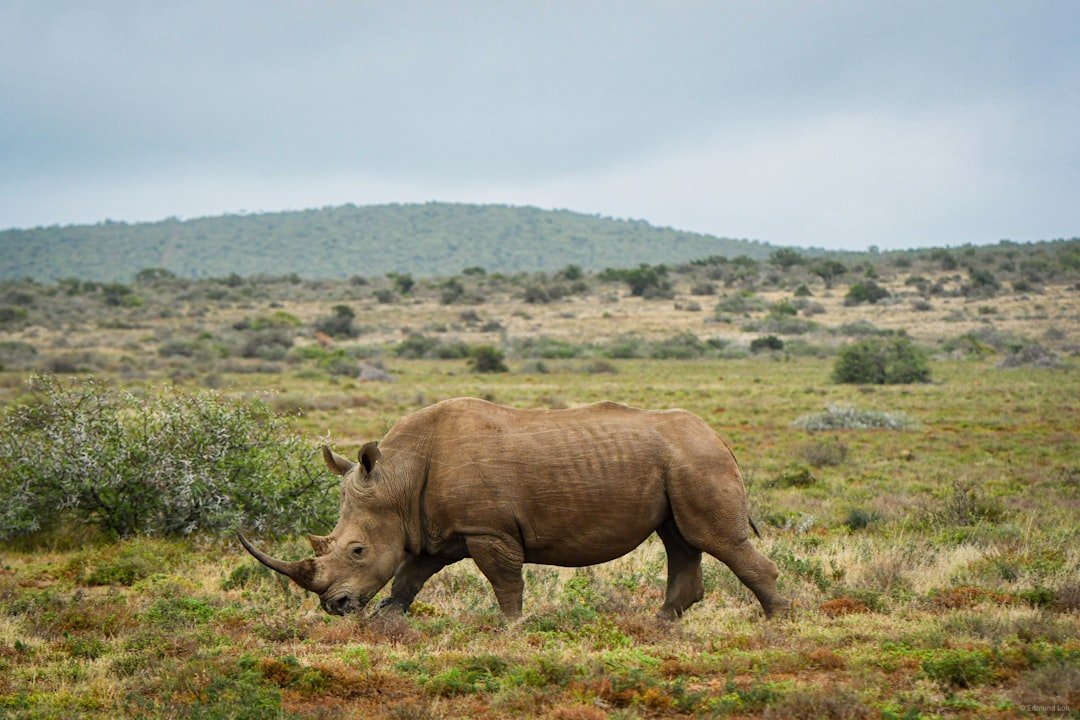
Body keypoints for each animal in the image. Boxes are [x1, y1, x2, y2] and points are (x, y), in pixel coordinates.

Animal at [239, 398, 789, 620]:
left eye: (356, 550)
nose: (336, 608)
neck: (397, 477)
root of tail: (720, 437)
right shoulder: (437, 530)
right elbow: (409, 576)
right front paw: (388, 621)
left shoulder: (486, 528)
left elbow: (505, 581)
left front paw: (511, 629)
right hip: (680, 461)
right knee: (680, 540)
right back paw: (657, 627)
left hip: (697, 460)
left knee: (715, 540)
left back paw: (778, 625)